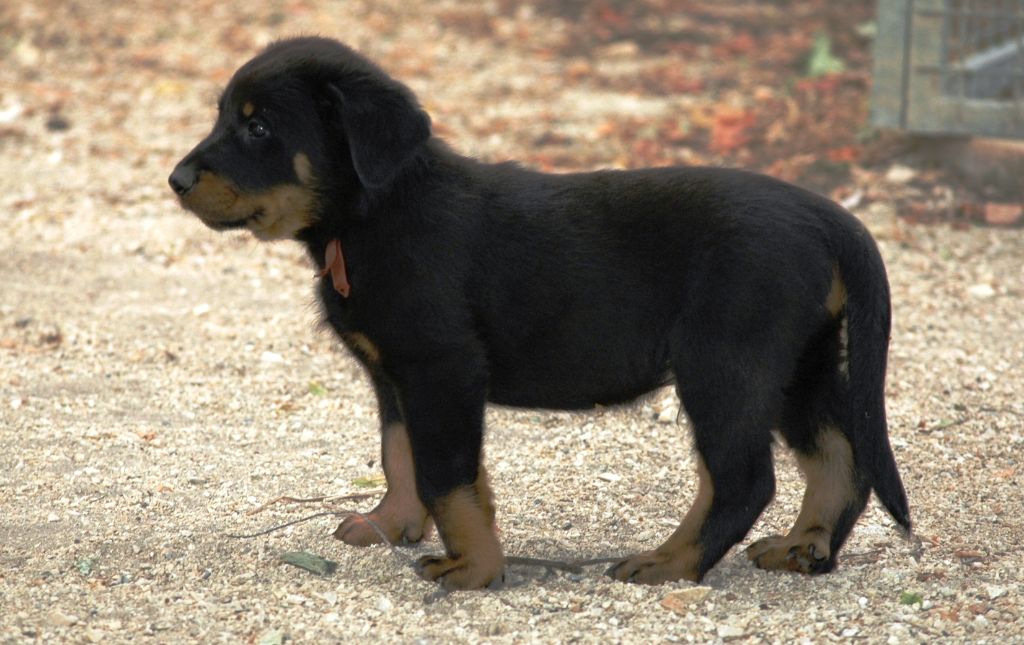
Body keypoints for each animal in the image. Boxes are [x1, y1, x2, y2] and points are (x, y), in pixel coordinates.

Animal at [169, 37, 910, 590]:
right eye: (224, 116)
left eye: (258, 125)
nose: (175, 180)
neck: (373, 213)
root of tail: (827, 213)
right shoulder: (395, 376)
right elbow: (401, 455)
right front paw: (392, 523)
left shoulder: (441, 366)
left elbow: (448, 475)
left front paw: (472, 568)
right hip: (798, 362)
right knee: (839, 456)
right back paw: (805, 549)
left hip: (724, 361)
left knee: (742, 478)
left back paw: (670, 562)